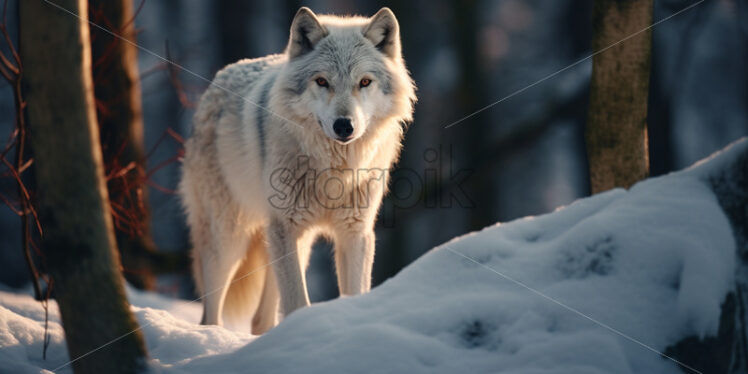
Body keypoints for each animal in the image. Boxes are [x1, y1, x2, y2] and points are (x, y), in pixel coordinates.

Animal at [180, 6, 414, 334]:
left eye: (365, 82)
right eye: (322, 81)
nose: (344, 126)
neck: (334, 172)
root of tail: (216, 82)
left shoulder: (355, 233)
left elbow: (353, 294)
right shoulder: (286, 228)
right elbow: (297, 303)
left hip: (292, 244)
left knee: (261, 318)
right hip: (230, 239)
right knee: (209, 314)